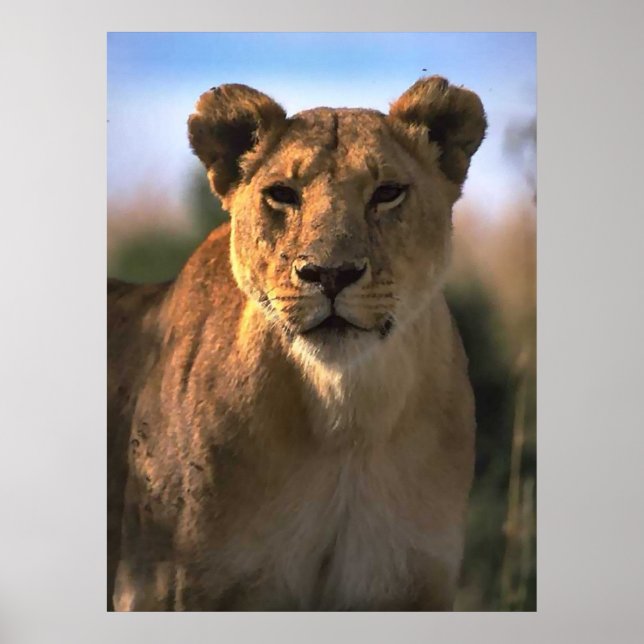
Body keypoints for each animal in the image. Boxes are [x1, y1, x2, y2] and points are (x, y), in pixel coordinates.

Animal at [107, 76, 487, 611]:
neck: (345, 417)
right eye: (282, 194)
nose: (330, 274)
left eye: (388, 193)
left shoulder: (412, 586)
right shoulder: (159, 587)